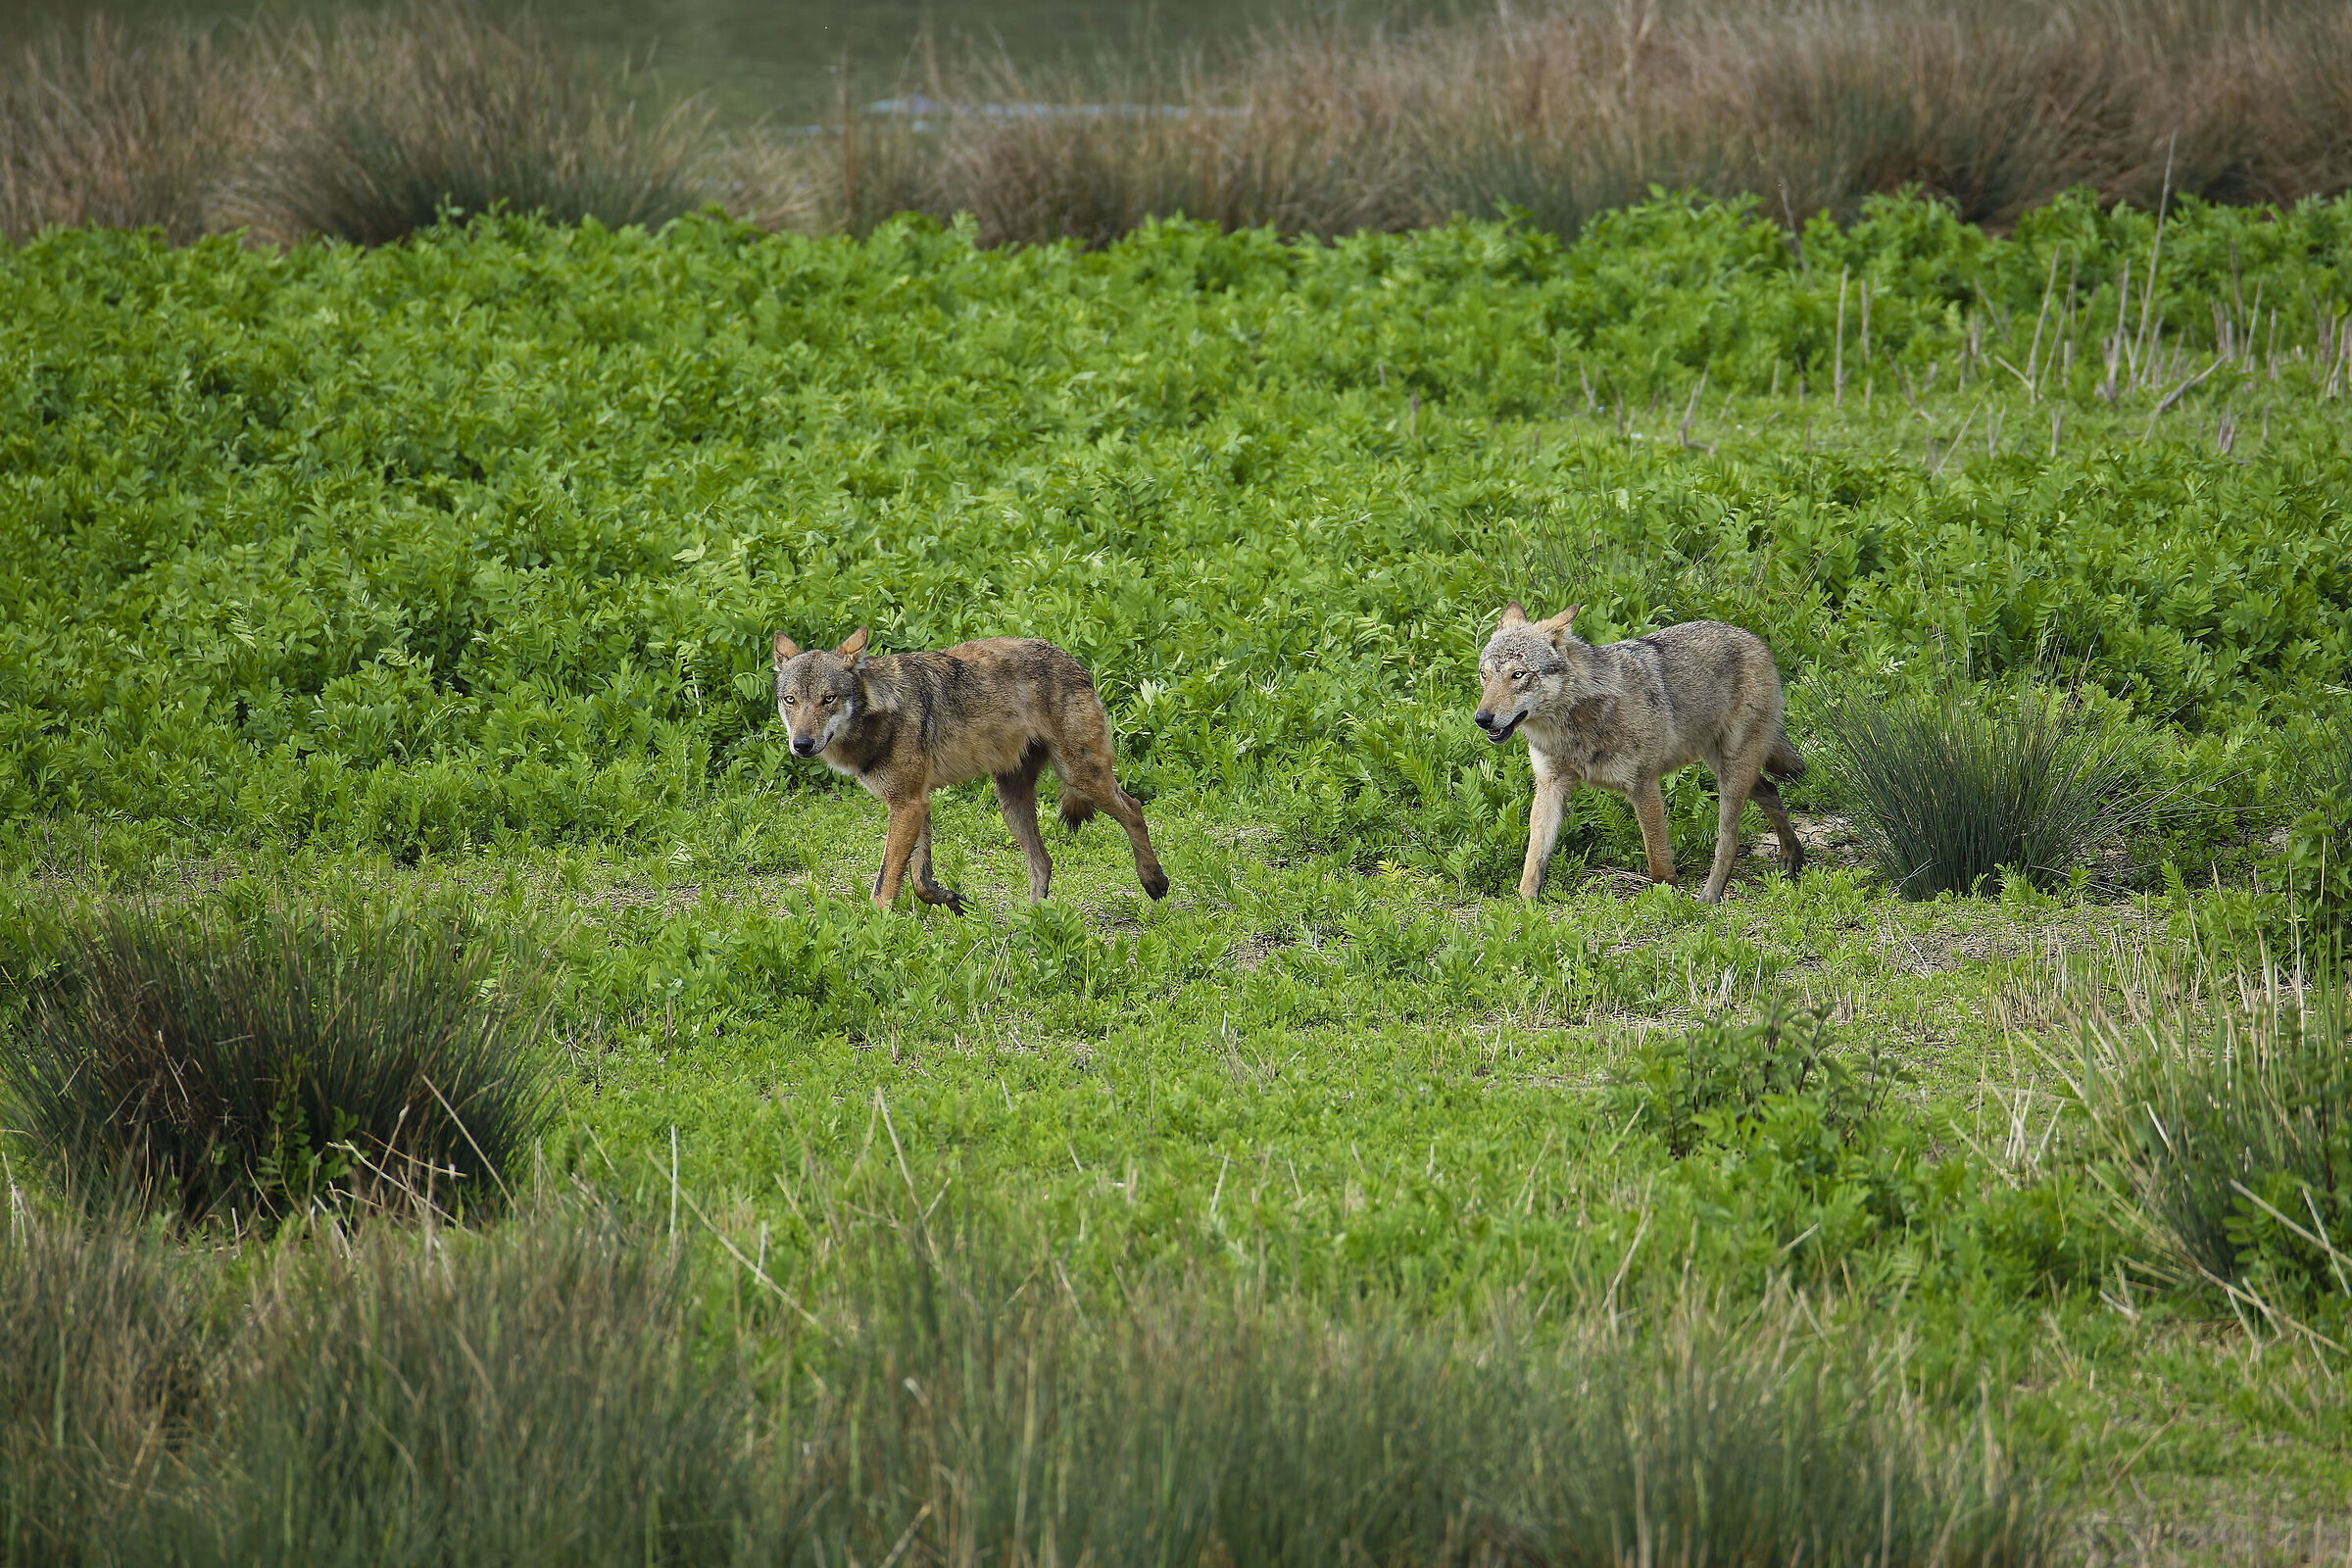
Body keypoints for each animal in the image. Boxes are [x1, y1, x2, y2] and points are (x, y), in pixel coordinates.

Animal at [773, 627, 1169, 912]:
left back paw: (1154, 882)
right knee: (1044, 861)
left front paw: (872, 929)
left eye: (828, 699)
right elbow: (919, 880)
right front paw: (949, 898)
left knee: (1135, 810)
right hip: (1011, 803)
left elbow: (886, 882)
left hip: (1081, 777)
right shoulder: (916, 803)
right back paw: (1029, 924)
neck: (878, 714)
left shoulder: (907, 805)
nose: (802, 744)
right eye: (791, 700)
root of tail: (1076, 662)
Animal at [1473, 603, 1804, 904]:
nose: (1482, 719)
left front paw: (1668, 898)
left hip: (1732, 774)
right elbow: (1534, 859)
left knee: (1729, 838)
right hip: (1722, 765)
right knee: (1771, 790)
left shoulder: (1643, 785)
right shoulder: (1550, 785)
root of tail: (1755, 639)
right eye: (1484, 675)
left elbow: (1657, 861)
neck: (1573, 725)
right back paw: (1794, 856)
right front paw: (1525, 906)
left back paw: (1710, 897)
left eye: (1518, 675)